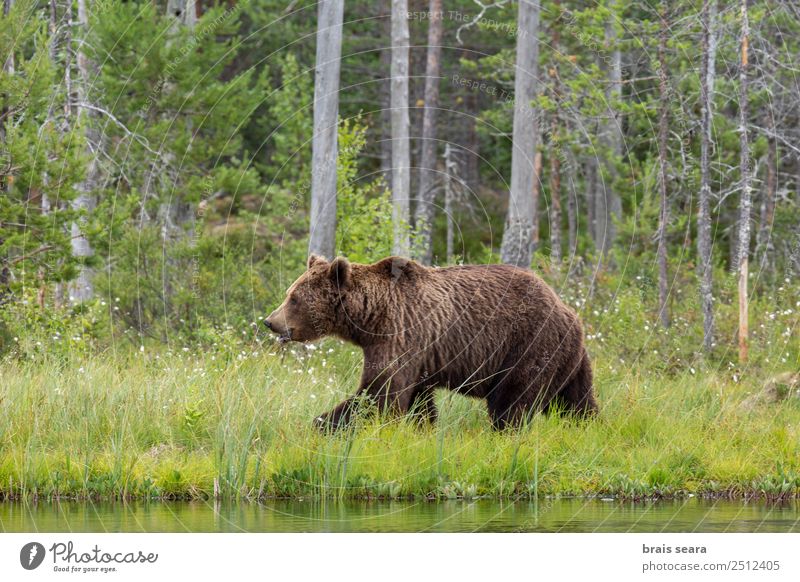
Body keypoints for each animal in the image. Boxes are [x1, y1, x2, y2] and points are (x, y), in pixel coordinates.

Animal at [266, 254, 596, 428]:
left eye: (294, 298)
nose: (270, 321)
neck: (370, 318)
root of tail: (568, 310)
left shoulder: (400, 334)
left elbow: (380, 392)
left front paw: (322, 423)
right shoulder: (419, 355)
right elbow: (417, 400)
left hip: (528, 344)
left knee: (512, 400)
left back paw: (504, 431)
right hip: (568, 358)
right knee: (575, 400)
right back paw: (587, 425)